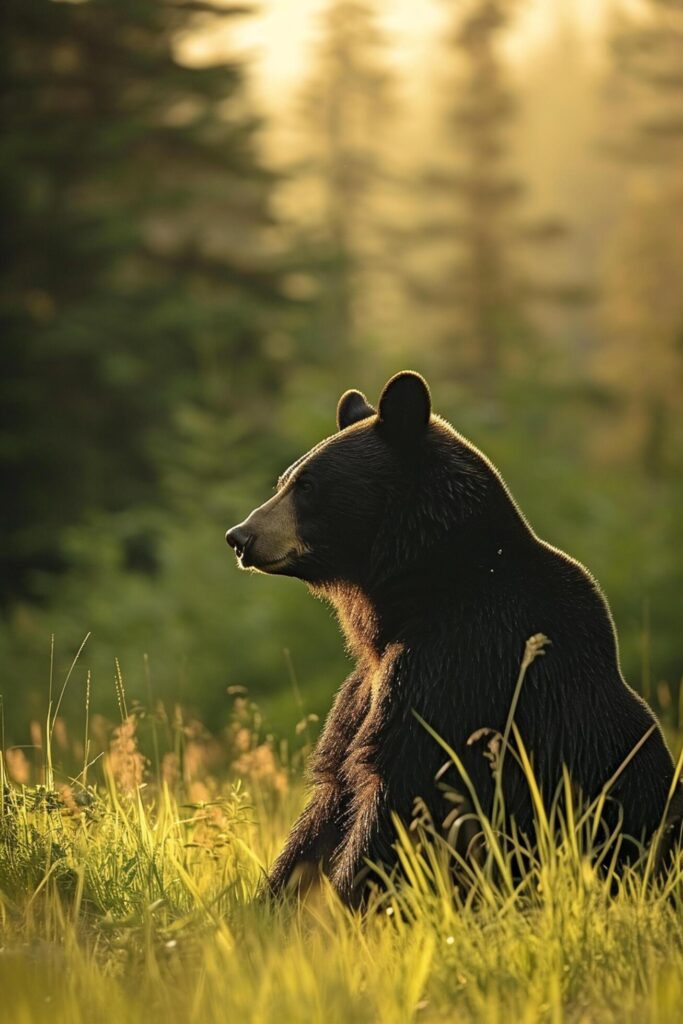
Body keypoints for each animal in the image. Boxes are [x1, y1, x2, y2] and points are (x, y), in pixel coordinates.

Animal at [225, 372, 679, 901]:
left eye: (309, 485)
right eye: (285, 480)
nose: (240, 536)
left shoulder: (460, 663)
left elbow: (404, 793)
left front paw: (349, 900)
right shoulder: (369, 685)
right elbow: (326, 803)